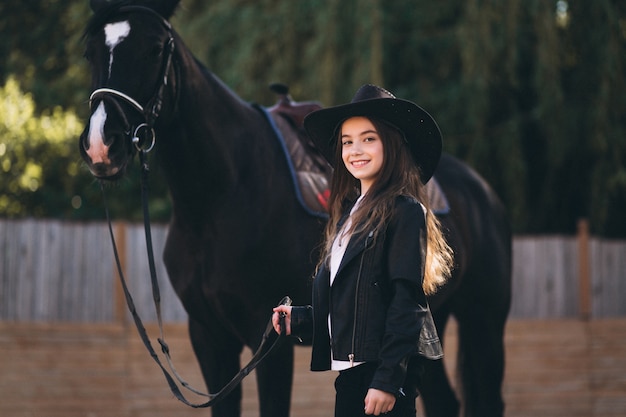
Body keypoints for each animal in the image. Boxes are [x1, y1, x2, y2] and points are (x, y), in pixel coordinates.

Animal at [78, 1, 510, 414]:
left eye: (154, 48)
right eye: (91, 52)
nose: (101, 145)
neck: (224, 193)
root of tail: (483, 193)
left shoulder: (269, 343)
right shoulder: (209, 337)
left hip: (484, 321)